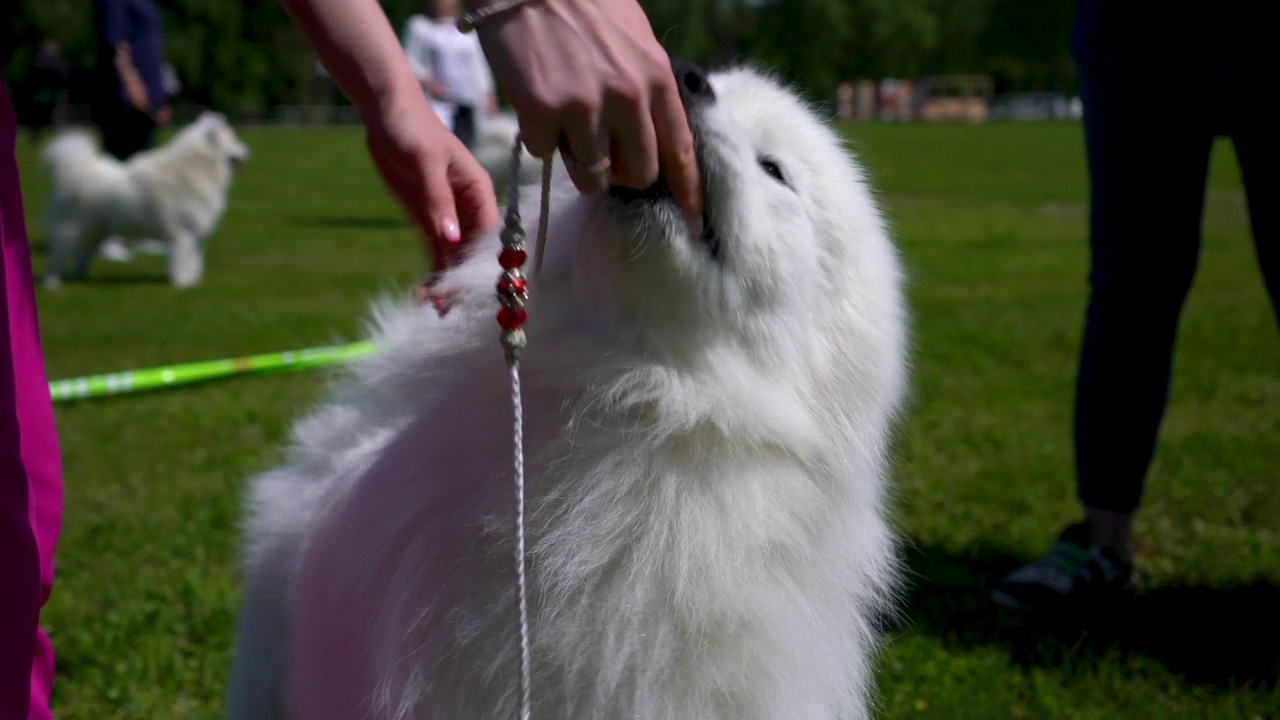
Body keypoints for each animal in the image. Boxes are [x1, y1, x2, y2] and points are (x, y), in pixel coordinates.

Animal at [42, 110, 249, 286]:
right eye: (234, 142)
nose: (247, 150)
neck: (199, 166)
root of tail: (81, 175)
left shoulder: (195, 234)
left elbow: (194, 259)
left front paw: (193, 281)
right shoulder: (182, 232)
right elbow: (182, 258)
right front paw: (182, 282)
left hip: (94, 232)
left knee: (83, 255)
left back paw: (79, 277)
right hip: (72, 231)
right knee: (57, 255)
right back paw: (53, 283)